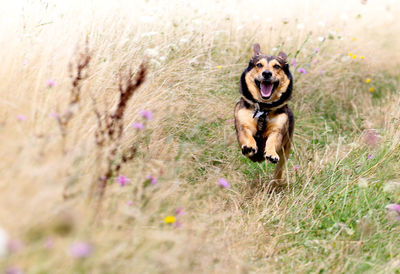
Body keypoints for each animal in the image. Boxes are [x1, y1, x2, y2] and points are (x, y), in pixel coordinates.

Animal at [234, 42, 294, 183]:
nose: (267, 73)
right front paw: (249, 146)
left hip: (286, 150)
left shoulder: (278, 130)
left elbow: (272, 140)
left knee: (280, 168)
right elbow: (246, 135)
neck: (263, 108)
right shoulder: (243, 123)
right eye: (259, 65)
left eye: (276, 66)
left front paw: (271, 154)